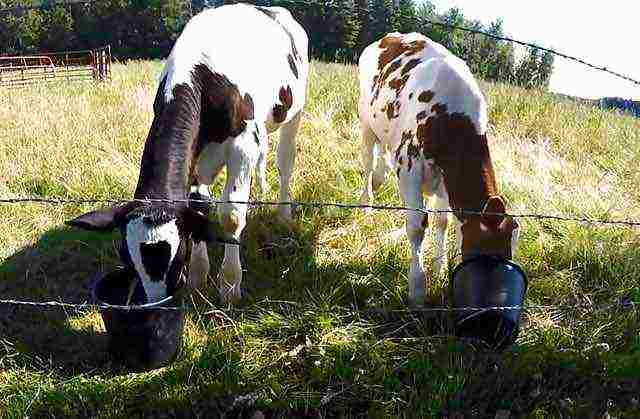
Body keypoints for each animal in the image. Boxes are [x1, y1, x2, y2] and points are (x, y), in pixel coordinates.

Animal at [66, 3, 308, 306]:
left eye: (178, 254)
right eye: (129, 261)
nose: (157, 302)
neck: (203, 77)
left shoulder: (243, 147)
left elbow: (231, 215)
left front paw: (230, 286)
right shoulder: (196, 157)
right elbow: (198, 207)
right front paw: (198, 277)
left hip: (293, 114)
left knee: (285, 163)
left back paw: (284, 215)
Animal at [360, 32, 520, 306]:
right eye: (488, 257)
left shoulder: (446, 182)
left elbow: (442, 221)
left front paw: (440, 267)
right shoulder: (408, 168)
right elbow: (416, 225)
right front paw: (417, 288)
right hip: (365, 121)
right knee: (368, 162)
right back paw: (366, 202)